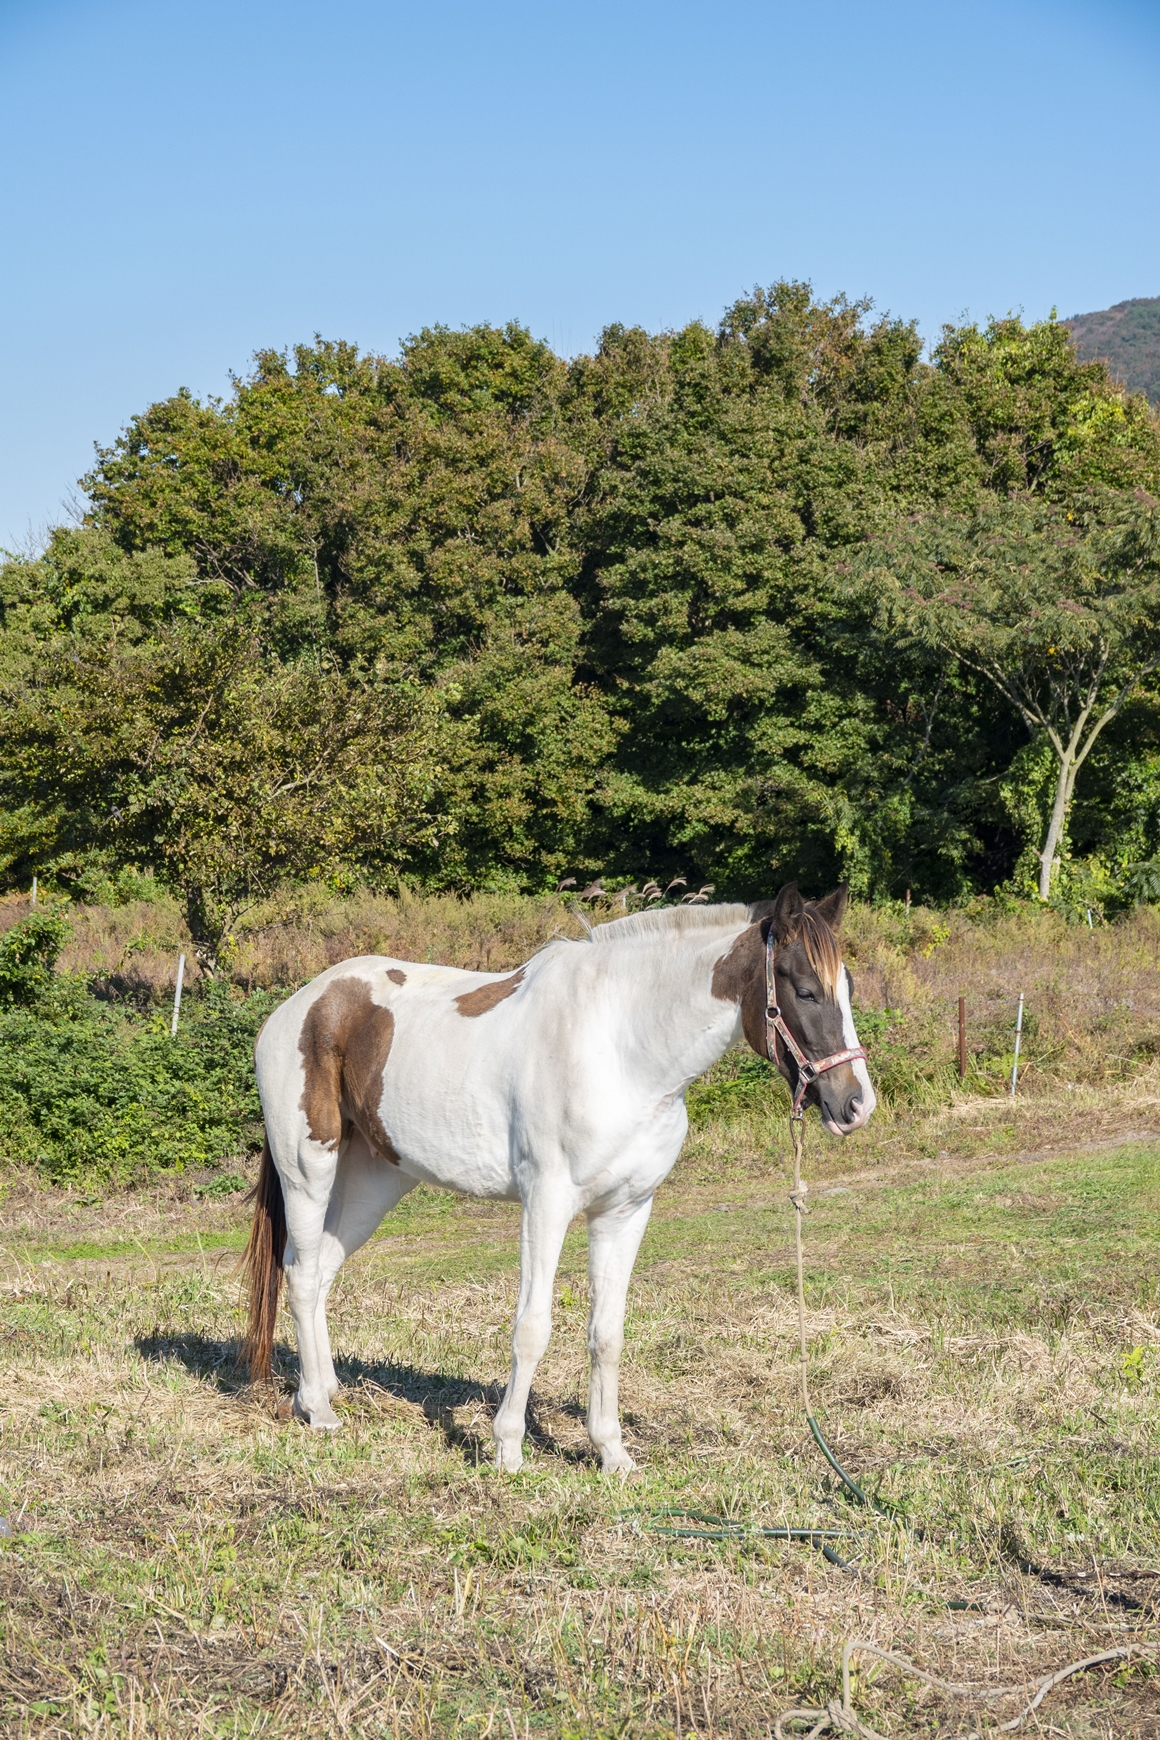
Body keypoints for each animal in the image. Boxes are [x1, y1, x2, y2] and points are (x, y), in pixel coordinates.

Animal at [246, 883, 880, 1468]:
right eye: (805, 991)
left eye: (848, 989)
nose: (855, 1104)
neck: (623, 1049)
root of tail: (300, 1006)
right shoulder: (546, 1204)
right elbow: (532, 1328)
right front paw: (507, 1449)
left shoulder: (625, 1212)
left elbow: (607, 1334)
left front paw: (611, 1453)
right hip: (309, 1168)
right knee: (300, 1275)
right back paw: (320, 1412)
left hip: (374, 1181)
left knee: (323, 1271)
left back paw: (320, 1392)